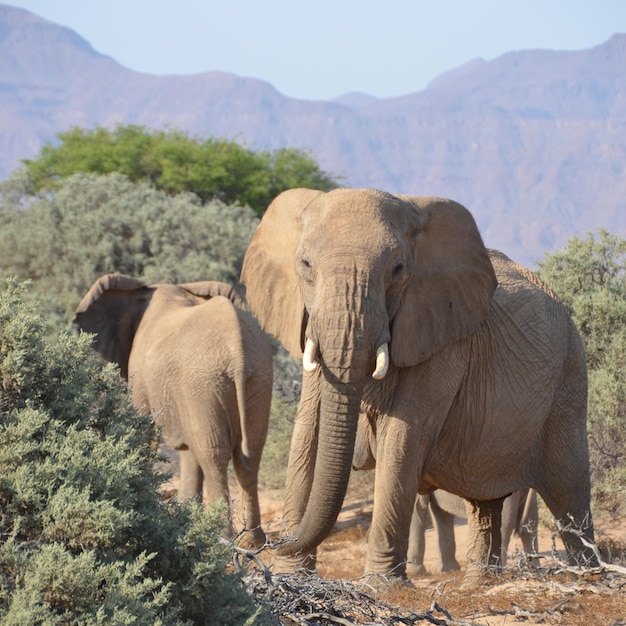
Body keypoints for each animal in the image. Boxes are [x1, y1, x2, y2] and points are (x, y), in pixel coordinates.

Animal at [73, 270, 272, 544]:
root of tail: (238, 355)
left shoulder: (143, 376)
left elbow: (145, 431)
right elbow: (187, 448)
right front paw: (186, 518)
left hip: (203, 382)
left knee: (213, 455)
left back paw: (221, 537)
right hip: (255, 379)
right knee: (250, 454)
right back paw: (253, 541)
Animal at [404, 488, 536, 576]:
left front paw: (412, 572)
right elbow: (441, 513)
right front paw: (446, 570)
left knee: (504, 525)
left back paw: (497, 573)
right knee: (530, 524)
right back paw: (534, 571)